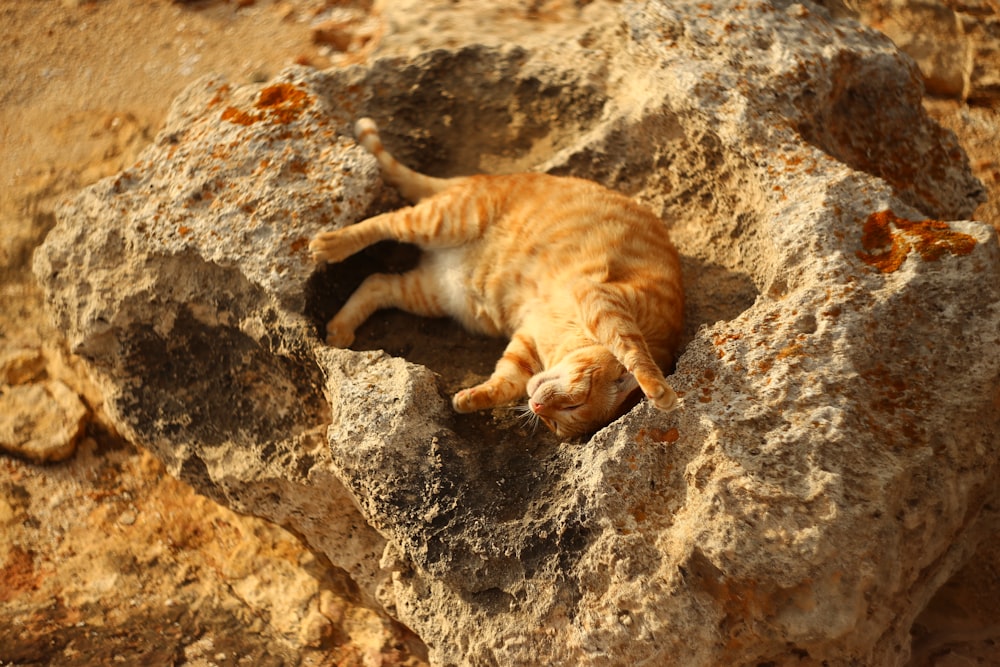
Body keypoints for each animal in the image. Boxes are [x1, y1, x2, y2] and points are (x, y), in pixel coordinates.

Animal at [310, 119, 688, 438]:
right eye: (574, 405)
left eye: (556, 422)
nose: (537, 406)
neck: (563, 340)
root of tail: (476, 178)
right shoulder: (601, 298)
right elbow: (632, 350)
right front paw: (658, 390)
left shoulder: (526, 339)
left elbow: (506, 380)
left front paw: (469, 399)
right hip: (443, 220)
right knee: (384, 221)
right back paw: (330, 244)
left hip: (435, 294)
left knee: (376, 281)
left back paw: (340, 328)